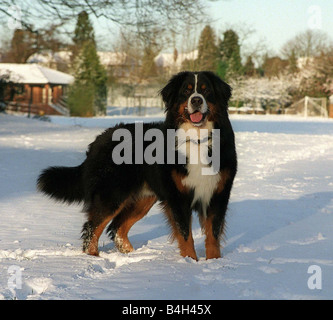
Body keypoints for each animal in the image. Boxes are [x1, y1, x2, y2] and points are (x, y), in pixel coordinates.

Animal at [37, 70, 236, 260]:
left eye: (206, 90)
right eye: (186, 91)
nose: (196, 100)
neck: (197, 139)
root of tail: (99, 139)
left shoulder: (217, 193)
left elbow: (213, 234)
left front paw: (214, 263)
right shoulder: (177, 197)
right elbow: (185, 234)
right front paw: (190, 262)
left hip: (142, 198)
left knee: (117, 228)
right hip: (112, 194)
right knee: (92, 227)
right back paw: (93, 258)